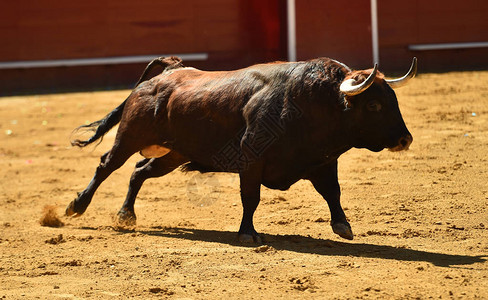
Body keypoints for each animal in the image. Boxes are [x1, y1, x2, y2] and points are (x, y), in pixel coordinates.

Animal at [66, 56, 416, 244]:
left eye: (393, 101)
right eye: (373, 105)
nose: (405, 140)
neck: (313, 103)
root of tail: (167, 73)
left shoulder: (323, 162)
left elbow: (333, 192)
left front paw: (343, 226)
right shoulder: (251, 159)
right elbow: (251, 197)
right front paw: (248, 233)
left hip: (176, 153)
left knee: (139, 172)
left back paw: (126, 215)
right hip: (129, 137)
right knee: (106, 166)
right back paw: (76, 207)